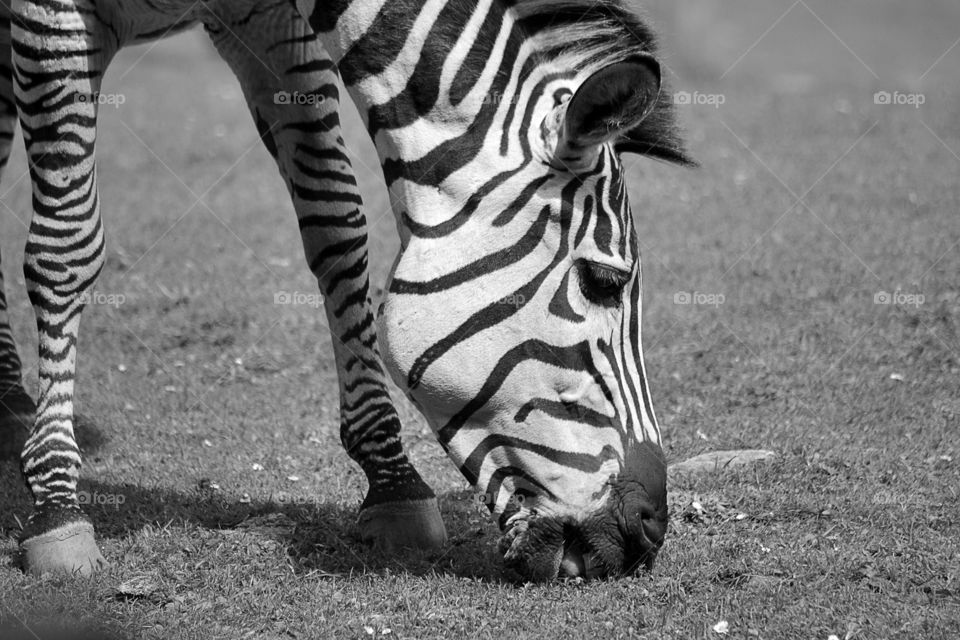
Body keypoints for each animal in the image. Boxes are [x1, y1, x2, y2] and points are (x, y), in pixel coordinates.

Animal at [0, 0, 688, 580]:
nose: (649, 534)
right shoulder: (52, 15)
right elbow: (66, 247)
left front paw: (393, 481)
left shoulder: (269, 23)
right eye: (603, 282)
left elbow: (337, 223)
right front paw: (58, 504)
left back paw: (10, 402)